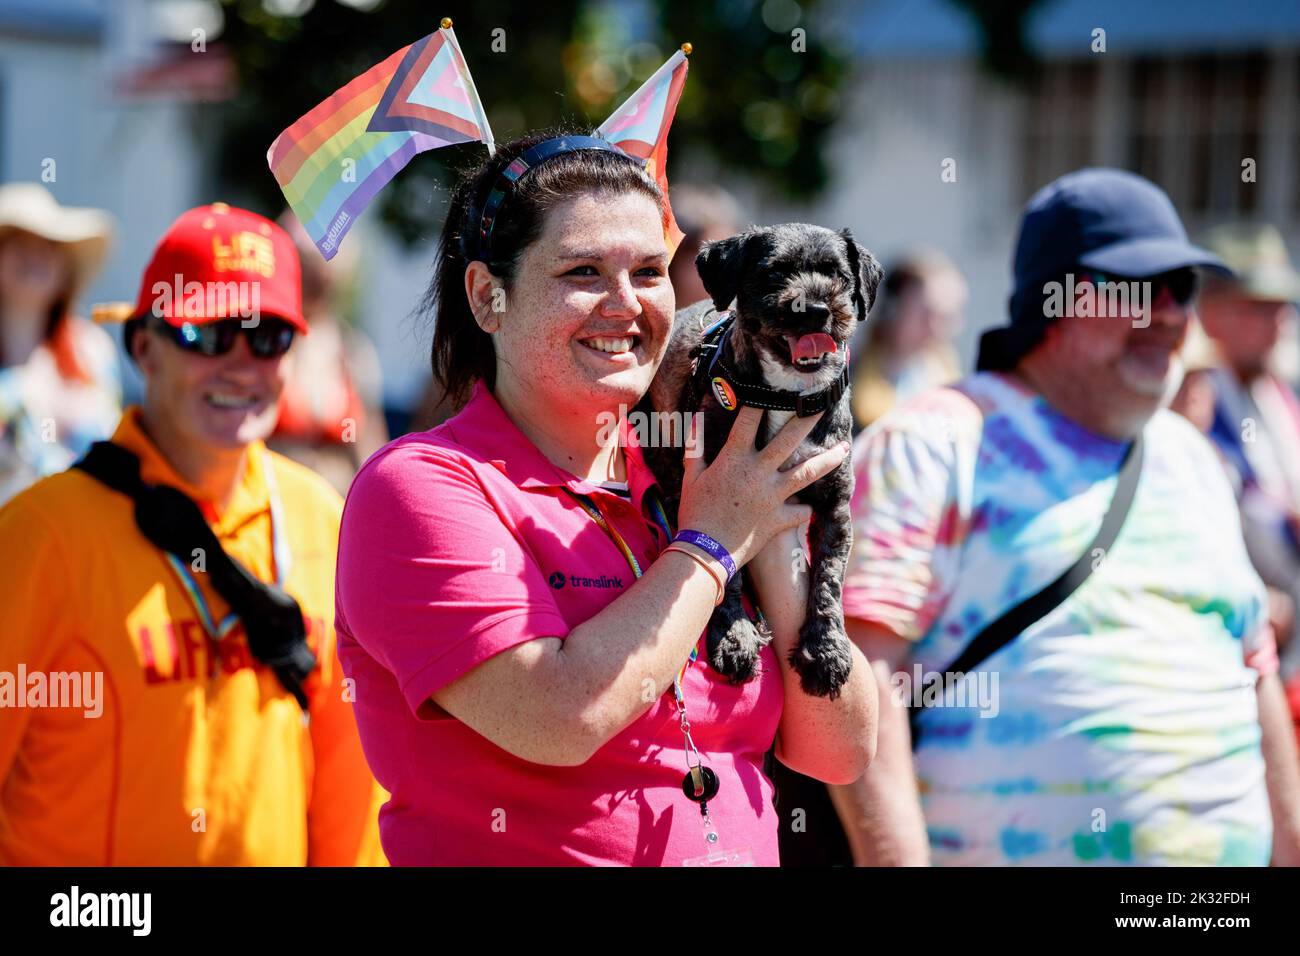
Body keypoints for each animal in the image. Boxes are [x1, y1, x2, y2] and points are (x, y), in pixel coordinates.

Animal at [639, 225, 883, 702]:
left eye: (838, 275)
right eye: (774, 273)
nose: (815, 310)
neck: (786, 395)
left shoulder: (836, 508)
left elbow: (829, 577)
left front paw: (826, 649)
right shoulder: (715, 491)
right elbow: (726, 566)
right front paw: (734, 635)